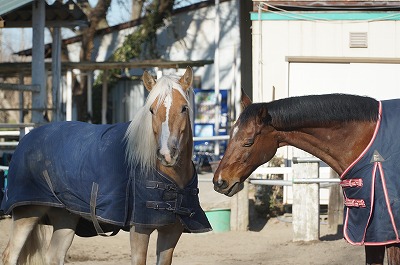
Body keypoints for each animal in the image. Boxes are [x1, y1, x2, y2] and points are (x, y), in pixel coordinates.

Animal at [0, 67, 212, 264]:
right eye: (152, 110)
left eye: (184, 108)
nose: (167, 153)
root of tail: (27, 138)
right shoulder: (140, 230)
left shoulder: (171, 232)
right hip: (27, 214)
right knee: (10, 255)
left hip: (65, 217)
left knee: (54, 256)